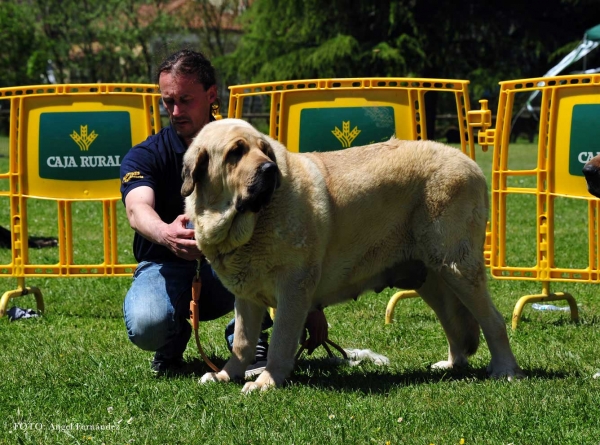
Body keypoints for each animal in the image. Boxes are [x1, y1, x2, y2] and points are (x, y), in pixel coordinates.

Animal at [180, 118, 524, 392]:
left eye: (264, 149)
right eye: (235, 153)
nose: (270, 168)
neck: (248, 223)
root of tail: (469, 163)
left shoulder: (293, 290)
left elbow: (279, 341)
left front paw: (267, 381)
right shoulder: (247, 296)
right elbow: (242, 341)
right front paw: (226, 375)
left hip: (457, 267)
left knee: (493, 321)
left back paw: (506, 369)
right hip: (433, 279)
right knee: (453, 322)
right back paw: (453, 364)